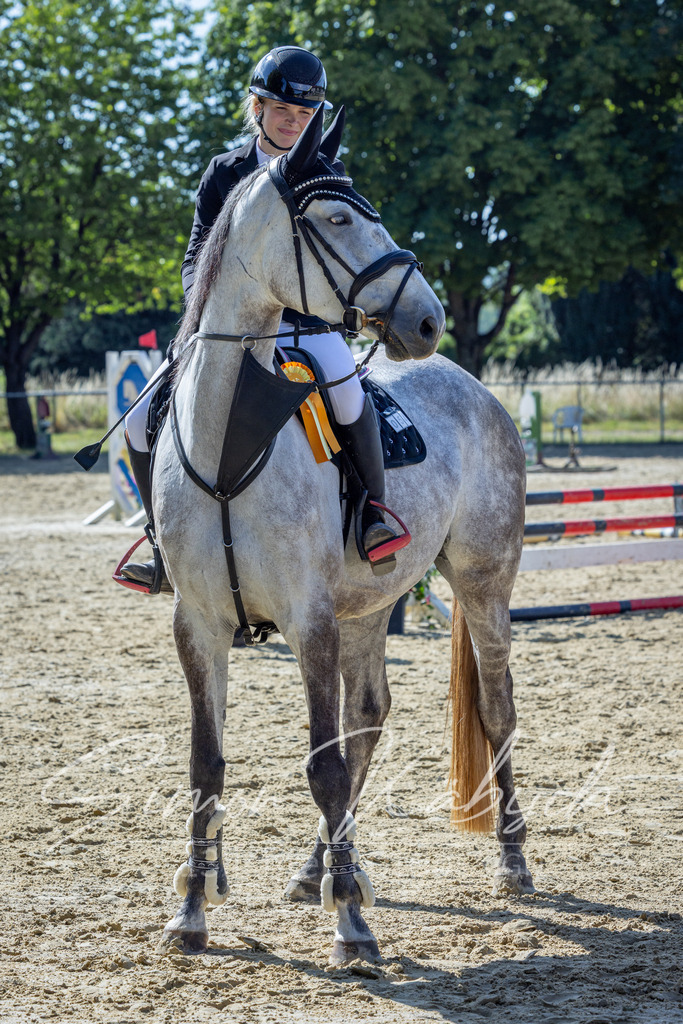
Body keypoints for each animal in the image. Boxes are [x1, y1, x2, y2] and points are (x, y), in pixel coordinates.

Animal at [152, 105, 533, 964]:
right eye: (335, 219)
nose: (424, 318)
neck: (230, 444)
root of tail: (471, 384)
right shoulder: (199, 624)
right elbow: (205, 764)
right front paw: (190, 912)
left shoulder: (309, 621)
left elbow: (320, 766)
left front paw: (353, 928)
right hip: (368, 606)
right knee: (369, 715)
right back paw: (316, 868)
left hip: (481, 583)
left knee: (494, 709)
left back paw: (510, 862)